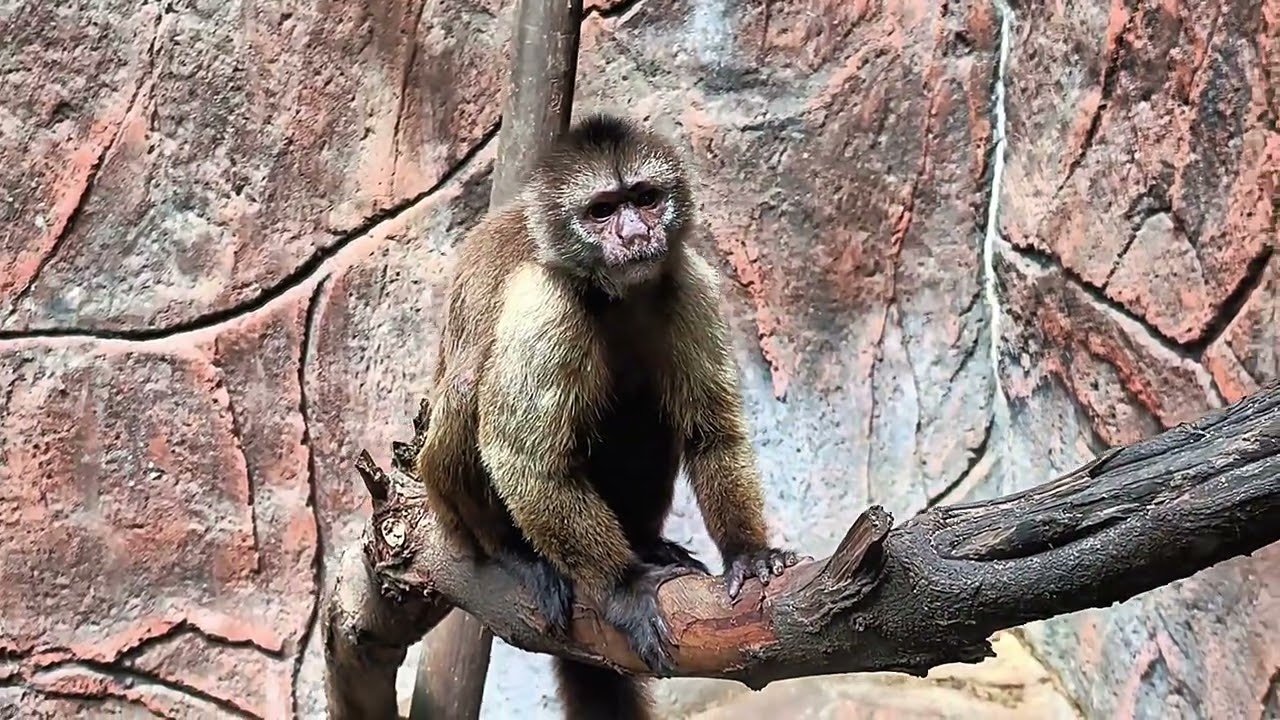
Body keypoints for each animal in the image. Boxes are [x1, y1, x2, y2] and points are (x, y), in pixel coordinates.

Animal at [415, 112, 799, 719]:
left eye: (644, 199)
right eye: (601, 211)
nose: (636, 235)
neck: (608, 294)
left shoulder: (686, 281)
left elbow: (711, 432)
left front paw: (747, 551)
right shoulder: (545, 300)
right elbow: (528, 464)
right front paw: (622, 588)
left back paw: (644, 540)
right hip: (451, 512)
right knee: (472, 384)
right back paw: (516, 554)